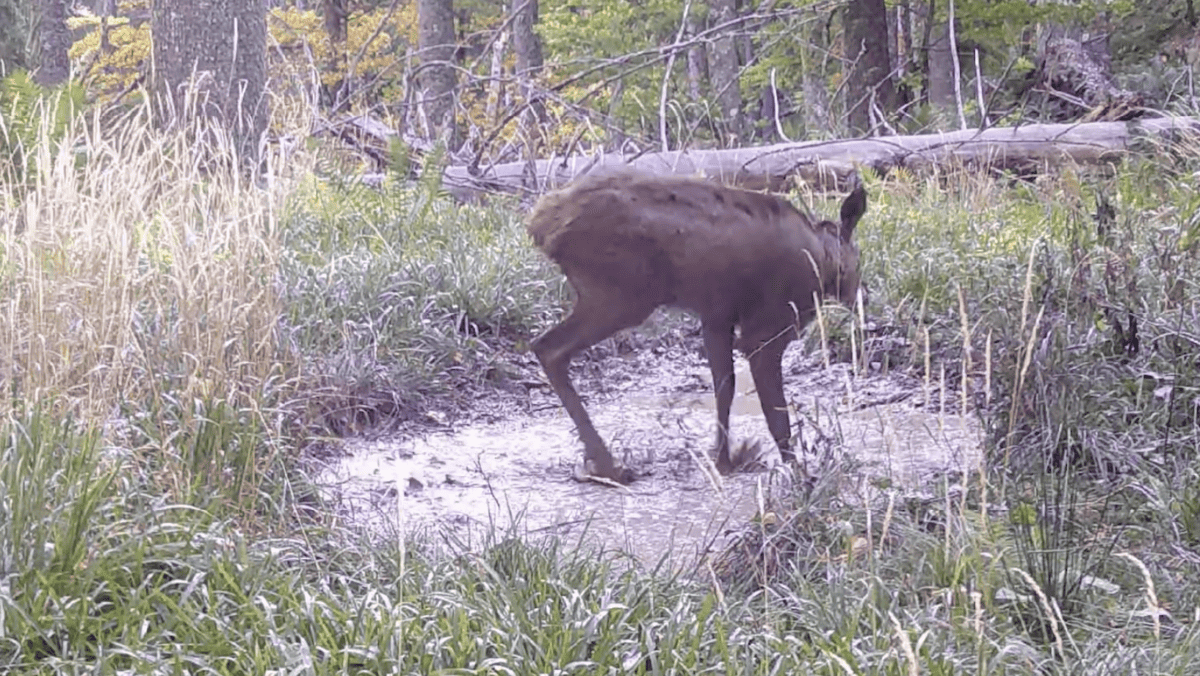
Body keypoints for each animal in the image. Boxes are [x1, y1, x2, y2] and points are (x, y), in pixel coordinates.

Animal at [525, 169, 864, 487]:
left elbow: (724, 387)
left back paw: (598, 462)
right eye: (859, 259)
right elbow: (776, 413)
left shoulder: (716, 317)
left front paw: (723, 460)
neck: (823, 259)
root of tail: (540, 227)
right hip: (622, 296)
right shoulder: (766, 329)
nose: (859, 297)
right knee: (549, 348)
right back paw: (608, 464)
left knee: (546, 347)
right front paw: (798, 473)